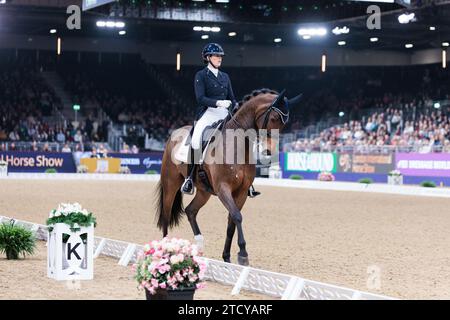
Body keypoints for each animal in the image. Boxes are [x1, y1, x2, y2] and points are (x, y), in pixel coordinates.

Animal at [156, 88, 302, 264]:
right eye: (273, 118)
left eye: (284, 124)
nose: (269, 151)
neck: (237, 144)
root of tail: (175, 133)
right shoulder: (223, 188)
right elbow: (237, 216)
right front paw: (243, 254)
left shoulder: (241, 192)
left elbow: (231, 222)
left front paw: (227, 257)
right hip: (170, 183)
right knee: (166, 214)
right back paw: (165, 251)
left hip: (204, 191)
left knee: (191, 210)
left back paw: (199, 246)